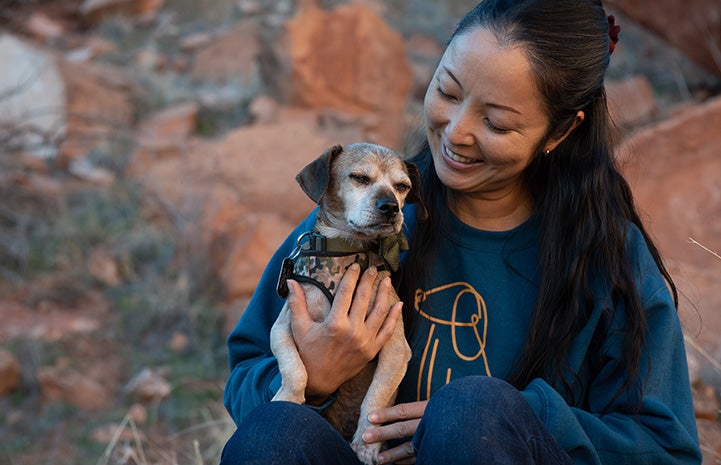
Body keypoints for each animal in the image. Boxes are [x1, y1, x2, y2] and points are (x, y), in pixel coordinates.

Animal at [272, 142, 424, 464]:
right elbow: (294, 369)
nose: (391, 207)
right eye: (360, 178)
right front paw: (287, 398)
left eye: (402, 186)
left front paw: (366, 444)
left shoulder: (396, 350)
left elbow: (375, 400)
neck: (347, 250)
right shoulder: (280, 329)